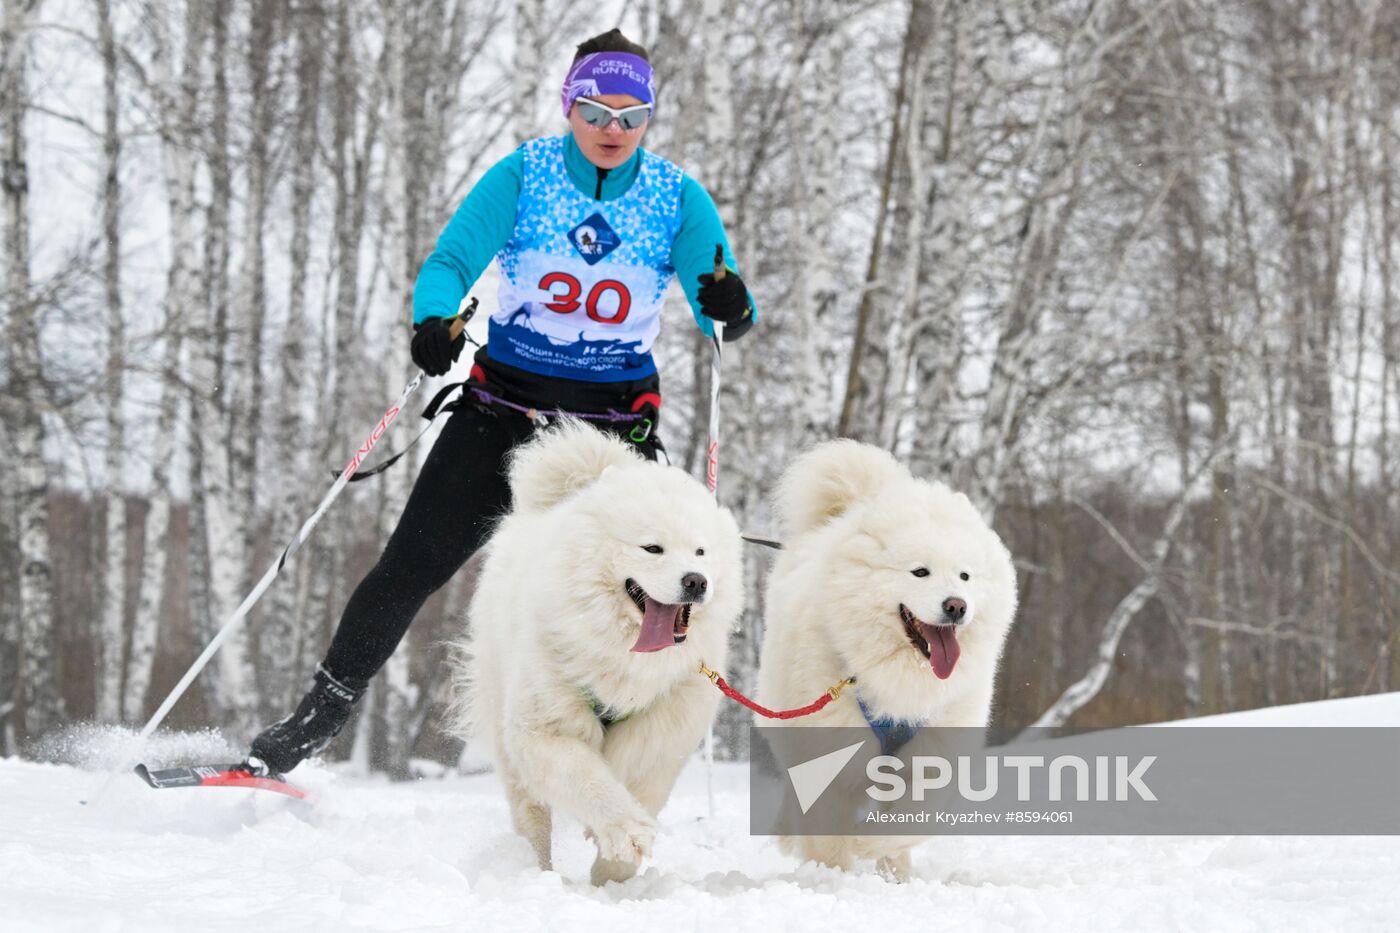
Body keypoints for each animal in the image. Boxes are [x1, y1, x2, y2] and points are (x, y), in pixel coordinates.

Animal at [456, 417, 744, 885]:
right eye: (652, 548)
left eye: (701, 551)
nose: (697, 580)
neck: (625, 659)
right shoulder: (546, 728)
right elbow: (588, 779)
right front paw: (624, 831)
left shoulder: (665, 730)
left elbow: (642, 784)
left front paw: (612, 875)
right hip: (509, 730)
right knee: (531, 815)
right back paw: (535, 871)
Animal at [756, 439, 1019, 874]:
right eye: (920, 572)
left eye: (965, 576)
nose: (957, 606)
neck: (899, 681)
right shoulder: (830, 753)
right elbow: (827, 833)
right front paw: (831, 875)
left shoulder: (935, 752)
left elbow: (912, 821)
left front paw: (871, 847)